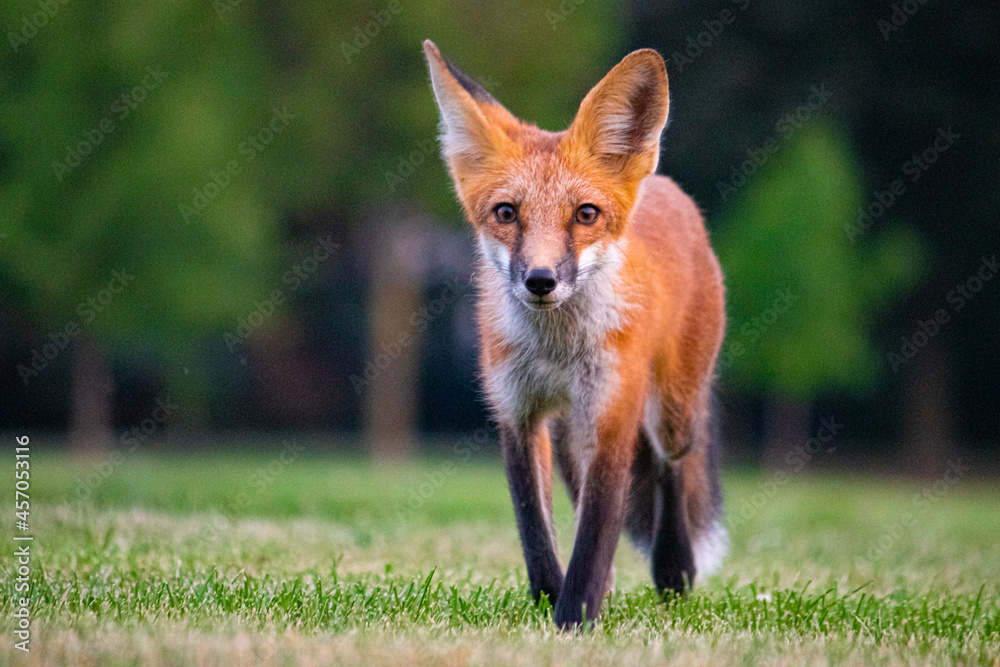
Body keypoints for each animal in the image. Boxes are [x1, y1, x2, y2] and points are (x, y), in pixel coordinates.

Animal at [423, 40, 727, 628]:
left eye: (586, 214)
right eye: (506, 213)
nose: (541, 280)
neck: (556, 351)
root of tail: (665, 185)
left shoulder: (612, 413)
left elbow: (595, 532)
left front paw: (574, 619)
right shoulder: (517, 413)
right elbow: (536, 529)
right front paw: (550, 600)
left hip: (669, 412)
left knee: (668, 467)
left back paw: (673, 569)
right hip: (569, 431)